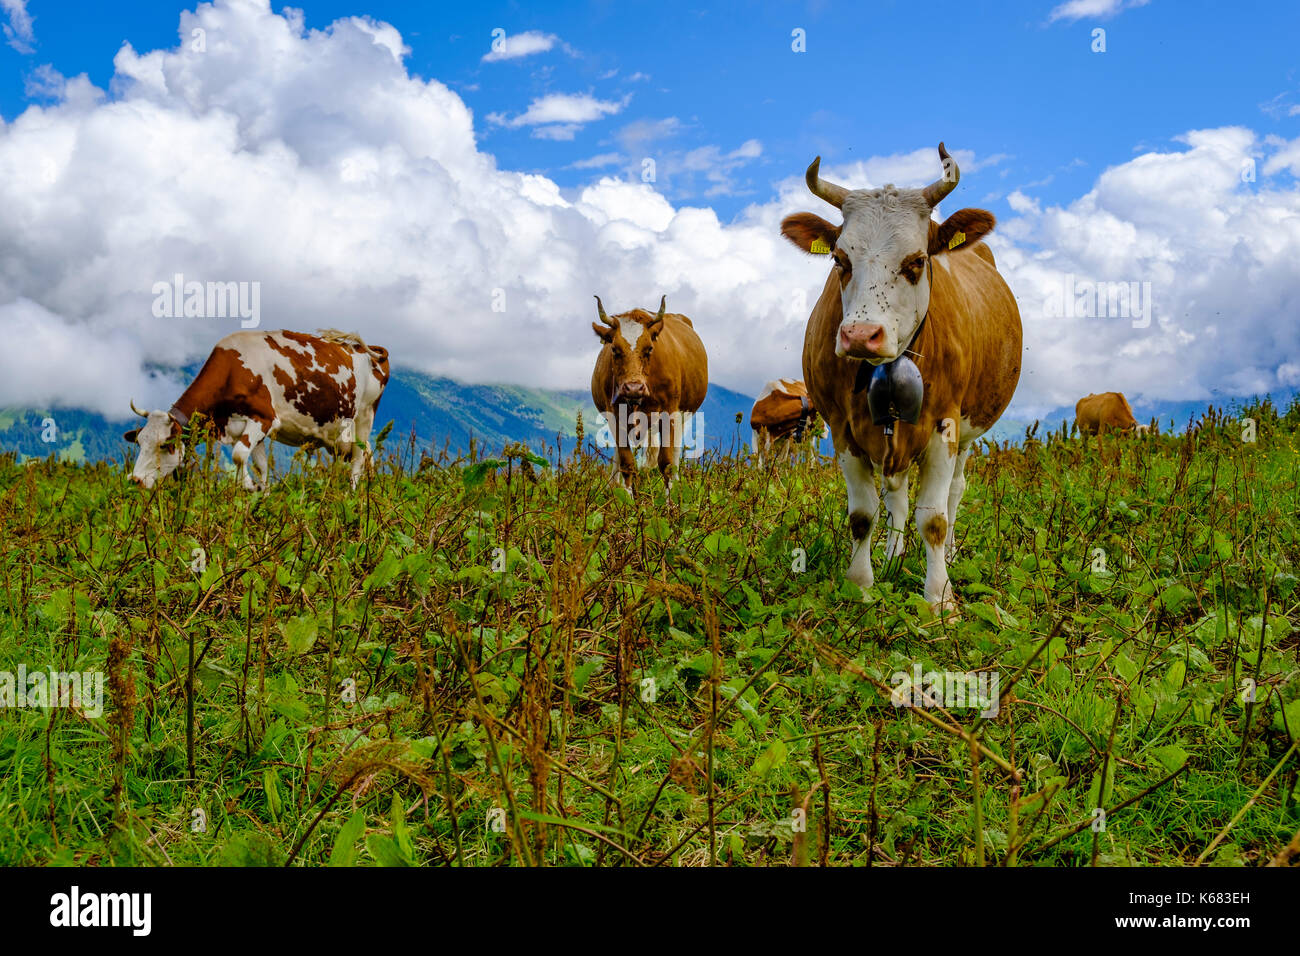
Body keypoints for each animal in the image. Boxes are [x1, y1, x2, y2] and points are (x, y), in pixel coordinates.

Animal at [126, 330, 390, 494]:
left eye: (164, 445)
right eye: (140, 442)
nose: (136, 480)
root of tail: (368, 349)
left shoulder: (264, 418)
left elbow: (238, 455)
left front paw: (249, 485)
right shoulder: (246, 427)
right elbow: (260, 464)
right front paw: (263, 493)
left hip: (364, 416)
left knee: (359, 454)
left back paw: (351, 492)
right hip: (338, 436)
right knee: (365, 452)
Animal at [592, 295, 712, 496]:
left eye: (649, 349)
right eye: (615, 349)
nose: (633, 388)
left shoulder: (670, 412)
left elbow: (667, 463)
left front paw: (671, 501)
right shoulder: (615, 414)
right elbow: (626, 462)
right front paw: (627, 498)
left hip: (682, 415)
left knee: (675, 453)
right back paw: (612, 485)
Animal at [780, 141, 1024, 613]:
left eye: (917, 261)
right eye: (839, 258)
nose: (860, 334)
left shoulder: (945, 424)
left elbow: (934, 518)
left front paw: (940, 598)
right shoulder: (842, 427)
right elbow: (864, 514)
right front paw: (861, 584)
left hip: (968, 430)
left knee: (955, 491)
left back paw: (950, 555)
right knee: (897, 496)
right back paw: (894, 555)